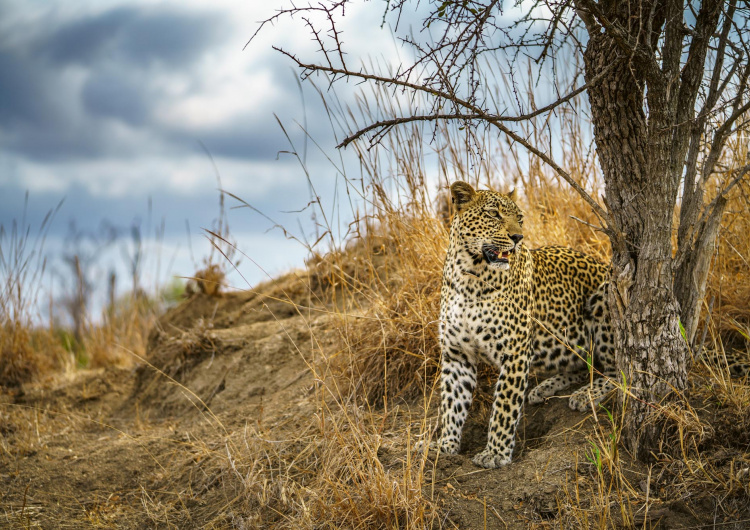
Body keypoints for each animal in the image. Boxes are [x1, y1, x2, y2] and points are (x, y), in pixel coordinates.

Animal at [427, 181, 617, 469]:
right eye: (493, 214)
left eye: (519, 218)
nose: (518, 237)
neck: (470, 276)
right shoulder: (456, 354)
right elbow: (452, 403)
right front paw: (445, 445)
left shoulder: (514, 351)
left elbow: (504, 406)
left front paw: (495, 453)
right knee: (583, 367)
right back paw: (544, 389)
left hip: (603, 301)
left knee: (622, 372)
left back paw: (585, 395)